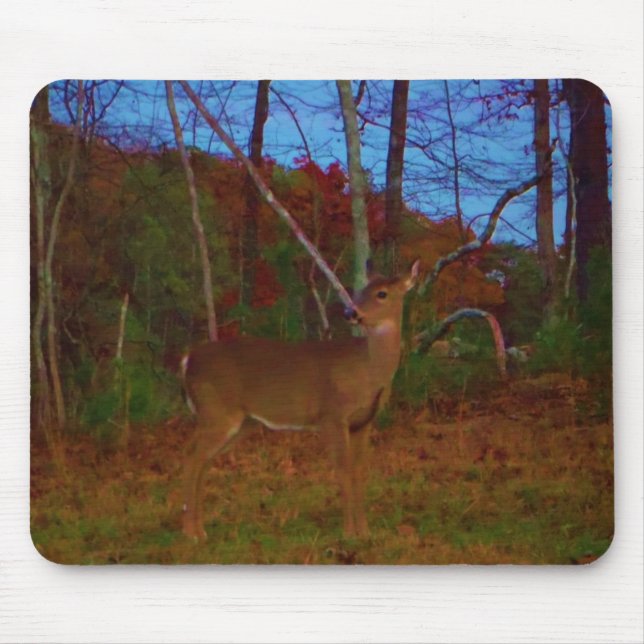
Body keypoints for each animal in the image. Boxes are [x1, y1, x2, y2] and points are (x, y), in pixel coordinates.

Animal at [180, 259, 420, 541]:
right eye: (360, 291)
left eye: (382, 293)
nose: (351, 312)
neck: (368, 369)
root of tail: (188, 359)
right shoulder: (332, 415)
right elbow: (343, 470)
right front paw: (349, 533)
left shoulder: (364, 422)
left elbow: (359, 471)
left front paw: (365, 531)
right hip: (217, 412)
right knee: (192, 458)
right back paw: (192, 533)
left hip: (238, 422)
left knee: (202, 460)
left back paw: (200, 529)